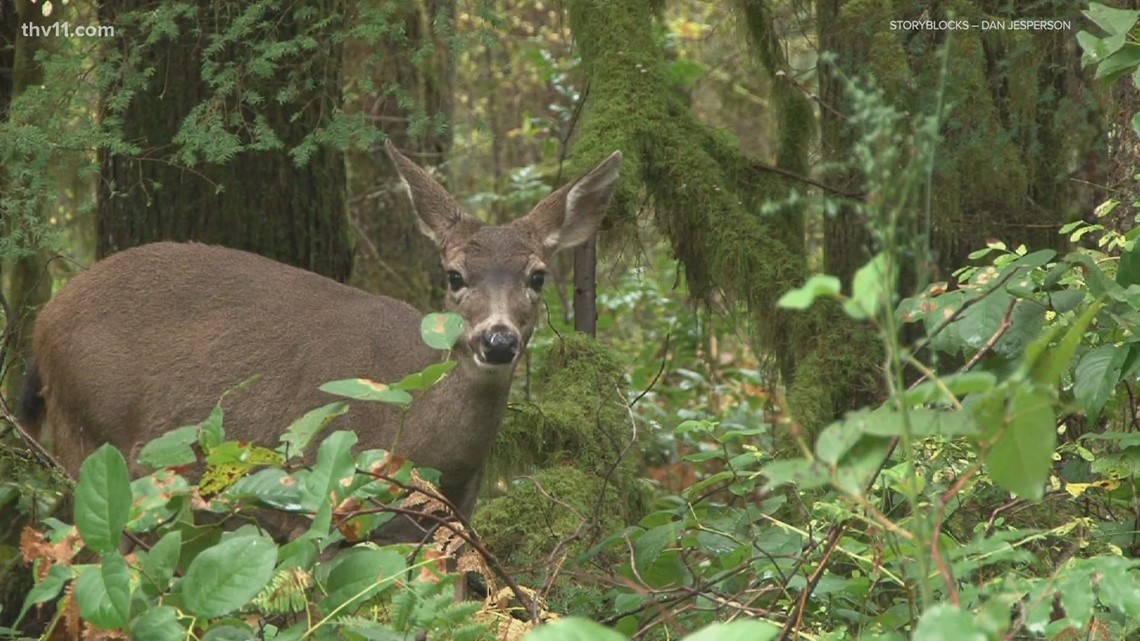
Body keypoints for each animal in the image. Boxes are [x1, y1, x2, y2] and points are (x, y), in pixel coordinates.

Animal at [20, 140, 623, 544]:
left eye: (538, 276)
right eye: (454, 275)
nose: (497, 341)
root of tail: (43, 319)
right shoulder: (317, 508)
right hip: (90, 438)